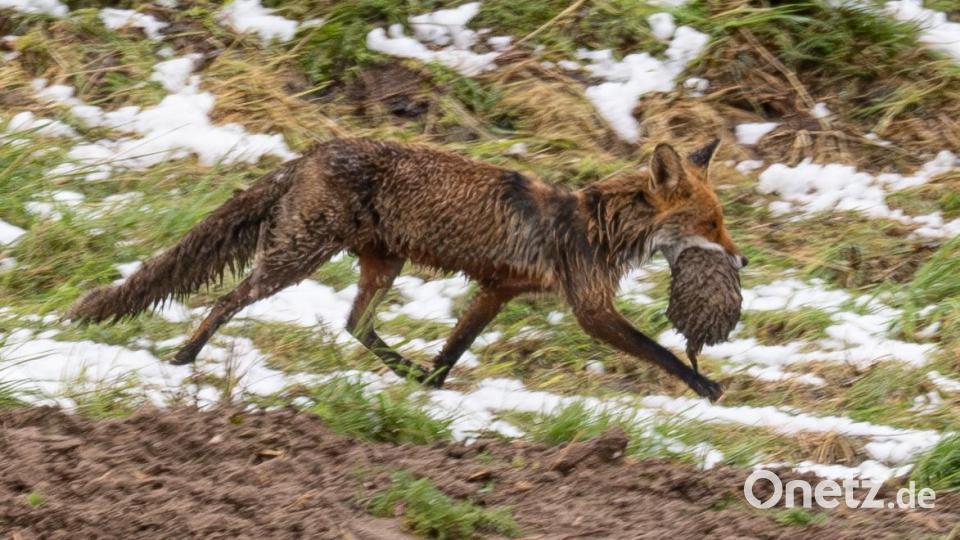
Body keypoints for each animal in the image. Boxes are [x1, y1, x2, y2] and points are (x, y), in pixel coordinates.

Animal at [67, 137, 747, 401]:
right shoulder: (591, 310)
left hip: (382, 263)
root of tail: (311, 151)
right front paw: (705, 387)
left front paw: (434, 385)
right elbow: (656, 349)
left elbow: (454, 348)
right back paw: (184, 356)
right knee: (228, 300)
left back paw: (406, 370)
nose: (741, 258)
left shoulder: (498, 290)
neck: (595, 226)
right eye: (713, 223)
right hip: (295, 258)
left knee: (356, 325)